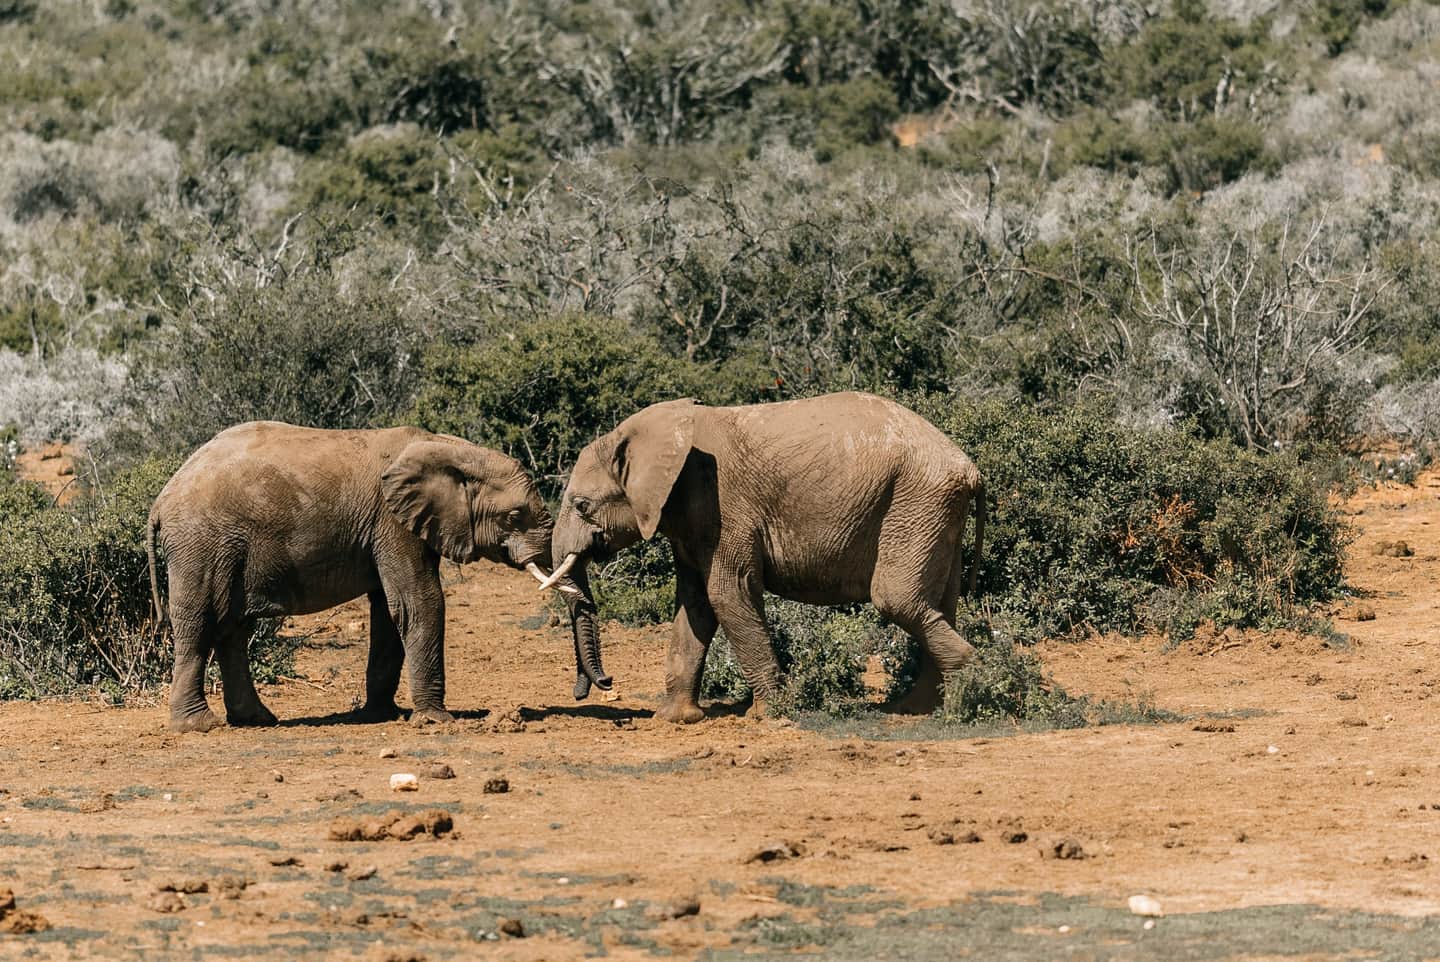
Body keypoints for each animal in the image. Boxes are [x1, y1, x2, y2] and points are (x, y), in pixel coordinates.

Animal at [148, 421, 607, 733]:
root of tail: (161, 499)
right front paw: (435, 719)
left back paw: (258, 719)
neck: (449, 448)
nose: (597, 686)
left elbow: (389, 610)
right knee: (201, 623)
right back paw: (199, 725)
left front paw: (383, 715)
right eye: (514, 516)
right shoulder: (392, 522)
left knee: (233, 628)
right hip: (202, 544)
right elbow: (419, 601)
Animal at [542, 391, 984, 722]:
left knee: (898, 599)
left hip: (915, 502)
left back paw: (967, 688)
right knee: (938, 604)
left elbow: (727, 594)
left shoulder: (722, 507)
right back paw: (918, 708)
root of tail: (971, 468)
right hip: (933, 511)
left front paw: (769, 714)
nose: (603, 685)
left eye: (581, 505)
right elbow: (694, 604)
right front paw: (674, 719)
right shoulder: (688, 519)